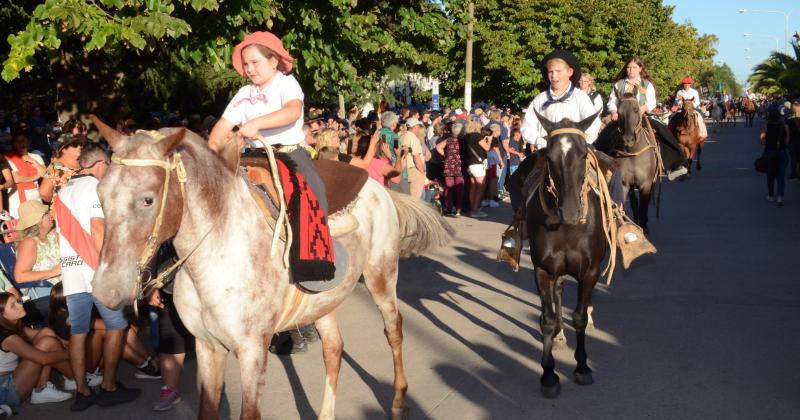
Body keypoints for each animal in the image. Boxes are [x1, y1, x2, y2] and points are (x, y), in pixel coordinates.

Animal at [528, 110, 608, 398]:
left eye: (584, 154)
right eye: (549, 157)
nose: (570, 211)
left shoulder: (591, 271)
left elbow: (580, 317)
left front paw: (582, 366)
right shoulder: (542, 270)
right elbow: (548, 319)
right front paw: (548, 374)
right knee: (556, 295)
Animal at [596, 92, 660, 235]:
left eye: (636, 109)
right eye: (619, 112)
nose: (628, 139)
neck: (633, 154)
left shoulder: (645, 185)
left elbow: (643, 208)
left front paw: (644, 227)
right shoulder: (625, 184)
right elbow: (625, 206)